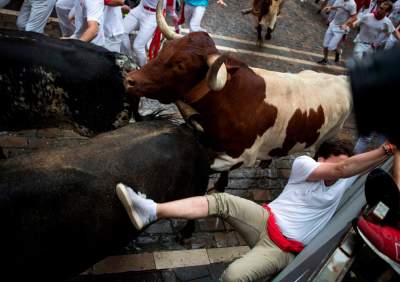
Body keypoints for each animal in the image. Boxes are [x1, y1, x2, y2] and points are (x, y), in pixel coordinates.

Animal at [124, 0, 350, 185]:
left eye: (181, 65)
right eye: (165, 48)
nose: (129, 80)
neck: (227, 102)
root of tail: (341, 79)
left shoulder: (239, 156)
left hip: (328, 137)